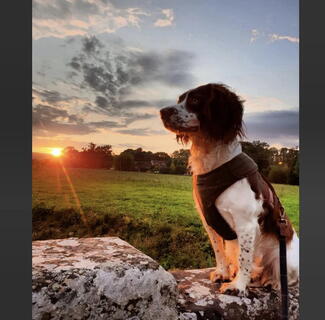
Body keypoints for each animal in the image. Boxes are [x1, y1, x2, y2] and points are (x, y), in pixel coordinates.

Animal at [158, 82, 298, 296]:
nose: (162, 112)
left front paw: (237, 285)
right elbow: (219, 251)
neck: (212, 163)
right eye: (180, 99)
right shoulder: (209, 222)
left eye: (196, 99)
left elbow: (244, 258)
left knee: (286, 277)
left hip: (281, 255)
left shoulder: (246, 224)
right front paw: (223, 273)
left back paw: (271, 282)